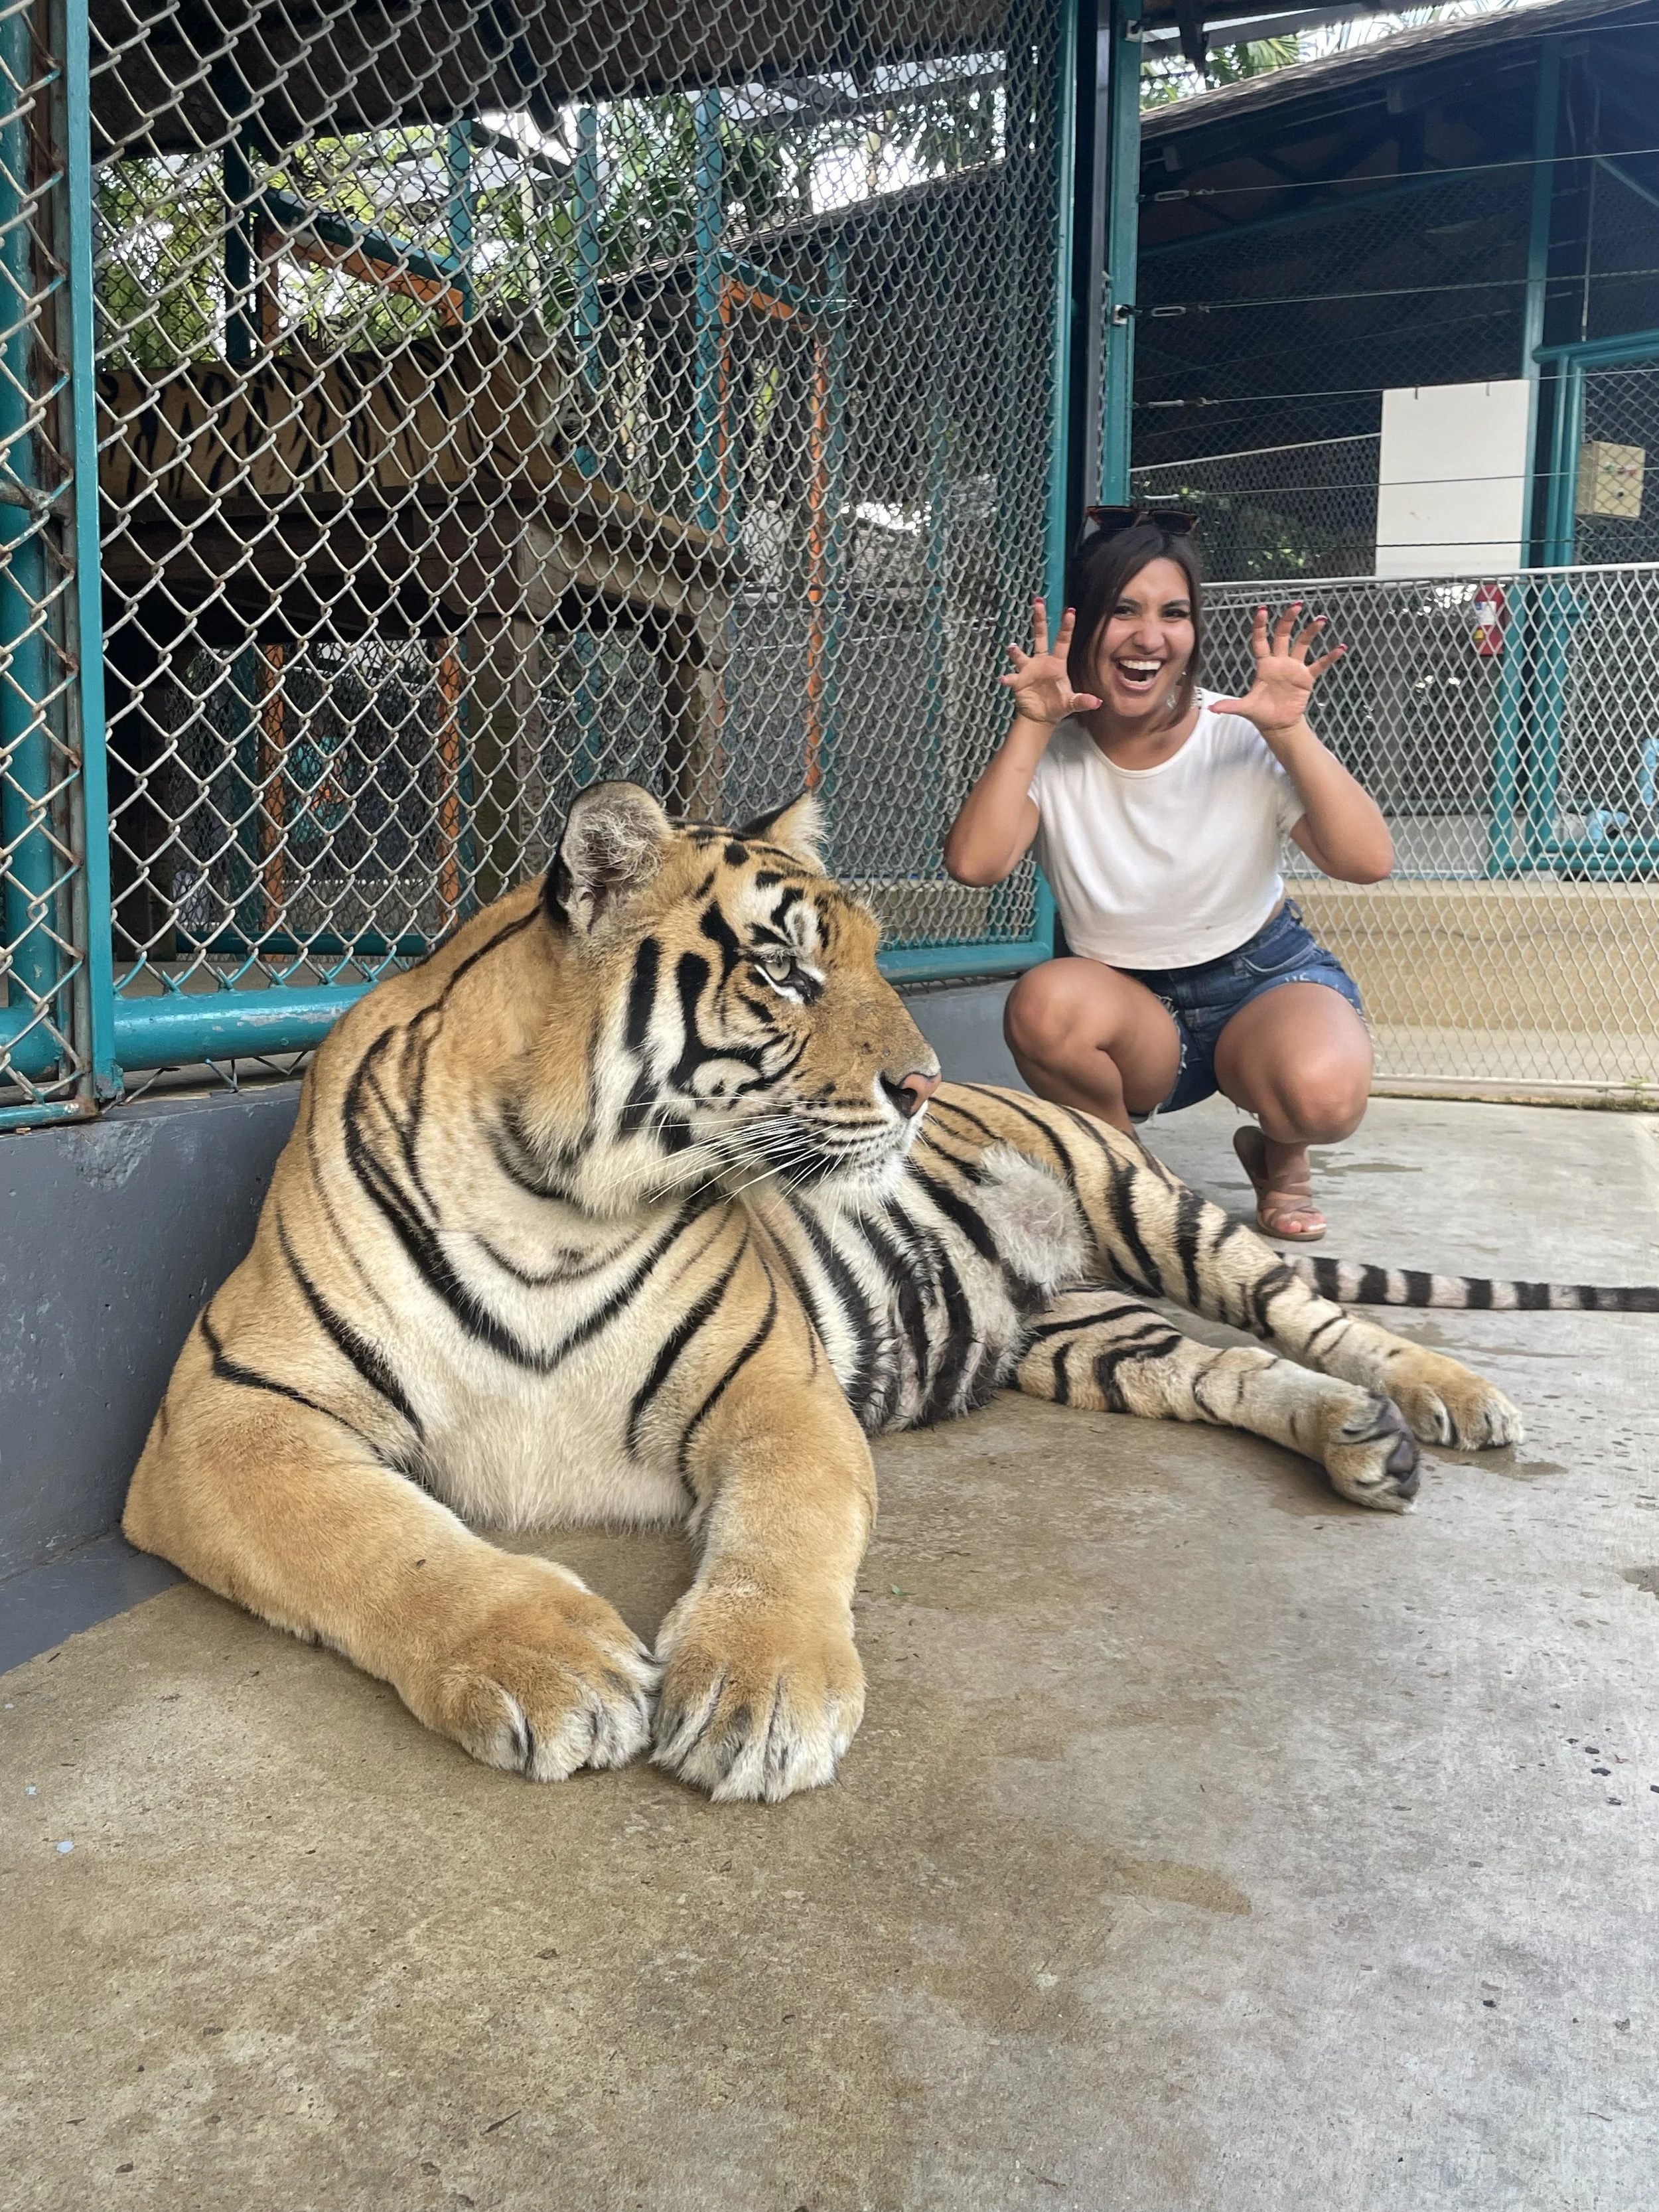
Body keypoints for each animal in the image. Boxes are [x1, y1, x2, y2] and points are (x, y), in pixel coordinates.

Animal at [122, 781, 1659, 1805]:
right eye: (787, 970)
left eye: (867, 950)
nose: (920, 1083)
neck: (552, 1198)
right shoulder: (224, 1414)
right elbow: (383, 1536)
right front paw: (546, 1663)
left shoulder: (773, 1383)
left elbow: (785, 1531)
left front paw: (759, 1692)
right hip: (1088, 1336)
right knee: (1226, 1367)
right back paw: (1353, 1440)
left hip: (1151, 1208)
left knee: (1312, 1316)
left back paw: (1445, 1398)